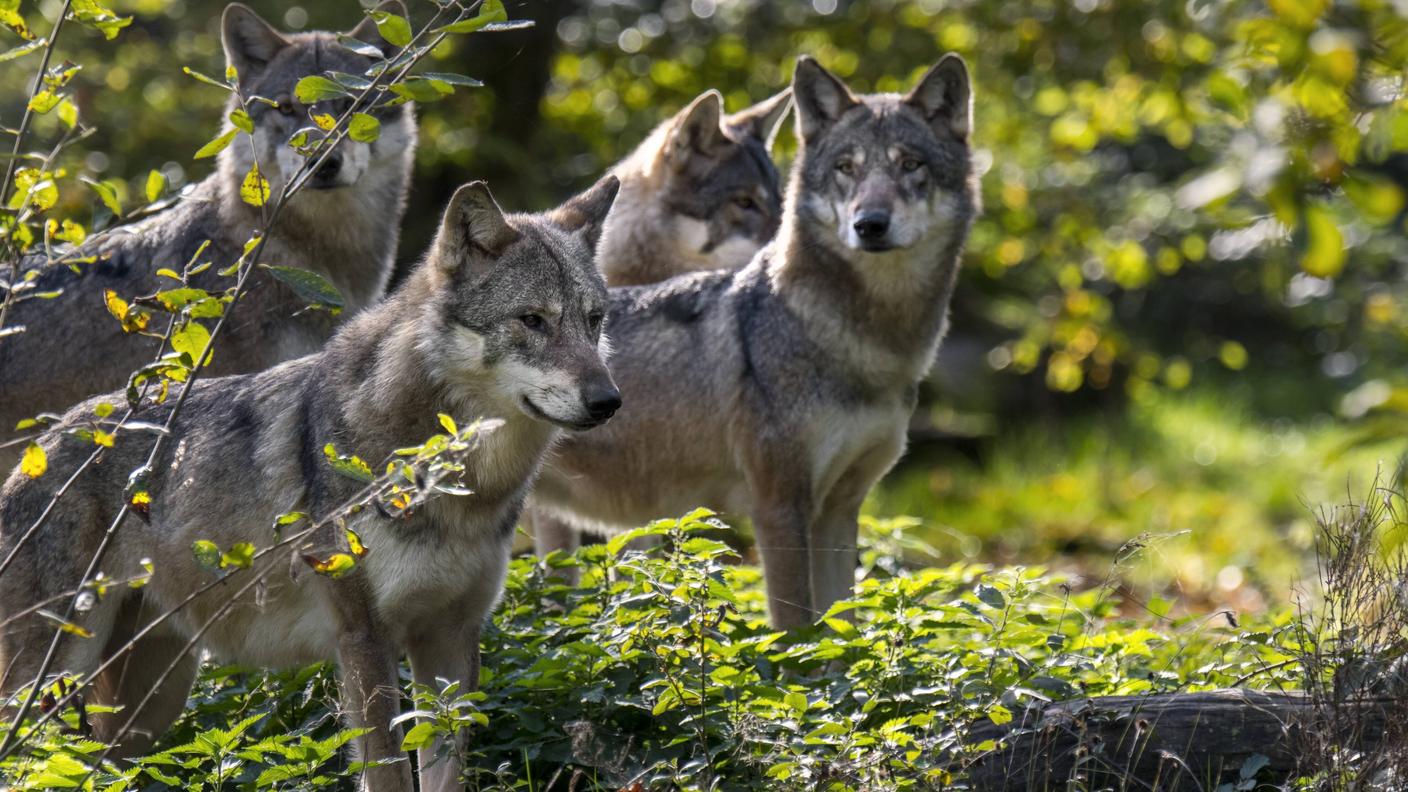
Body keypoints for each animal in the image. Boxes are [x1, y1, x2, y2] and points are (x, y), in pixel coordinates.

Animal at [0, 176, 620, 791]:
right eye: (533, 320)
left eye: (593, 320)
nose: (608, 401)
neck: (461, 488)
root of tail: (38, 446)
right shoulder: (364, 639)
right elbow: (389, 772)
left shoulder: (451, 637)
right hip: (51, 684)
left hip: (146, 710)